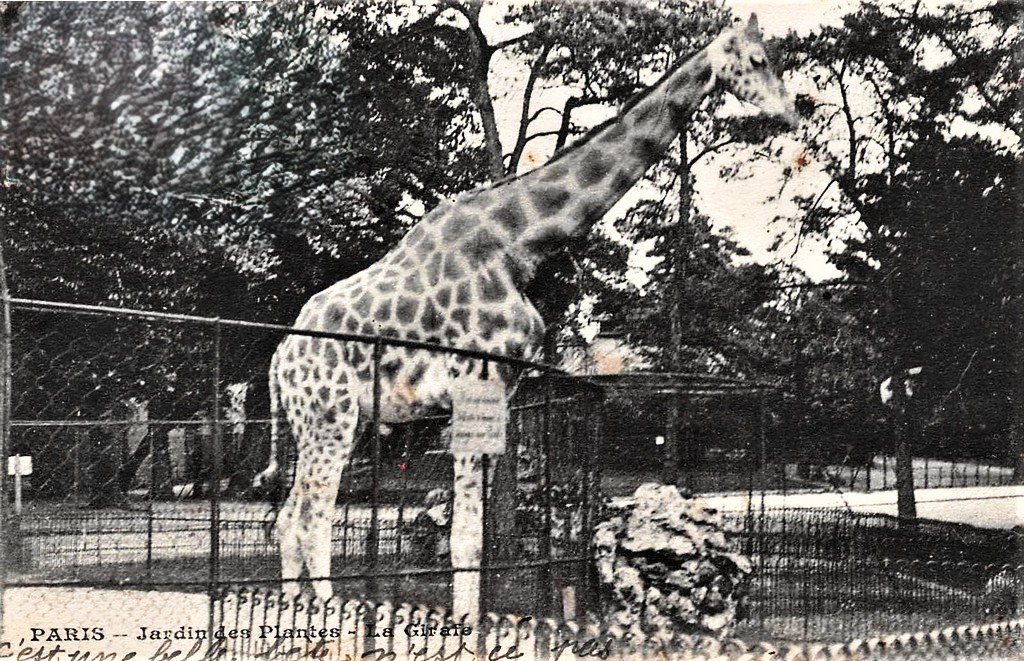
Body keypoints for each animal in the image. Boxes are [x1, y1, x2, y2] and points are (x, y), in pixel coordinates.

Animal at [255, 14, 798, 601]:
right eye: (758, 60)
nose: (793, 111)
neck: (520, 244)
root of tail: (280, 357)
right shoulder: (474, 385)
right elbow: (466, 540)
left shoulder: (503, 393)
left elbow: (482, 537)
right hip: (327, 415)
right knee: (311, 518)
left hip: (338, 421)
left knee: (289, 517)